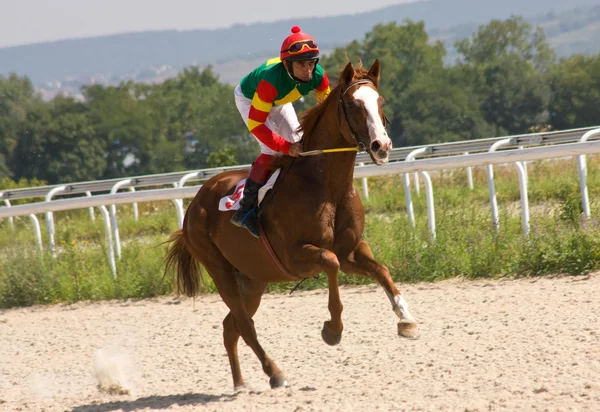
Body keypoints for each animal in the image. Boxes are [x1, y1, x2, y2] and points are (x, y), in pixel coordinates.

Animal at [163, 58, 418, 390]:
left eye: (381, 101)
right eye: (352, 104)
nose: (381, 146)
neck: (327, 186)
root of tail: (195, 204)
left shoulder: (352, 250)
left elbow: (381, 270)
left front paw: (406, 319)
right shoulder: (295, 256)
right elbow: (331, 262)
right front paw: (332, 329)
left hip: (253, 278)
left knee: (231, 326)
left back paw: (241, 382)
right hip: (219, 270)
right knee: (244, 324)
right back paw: (274, 372)